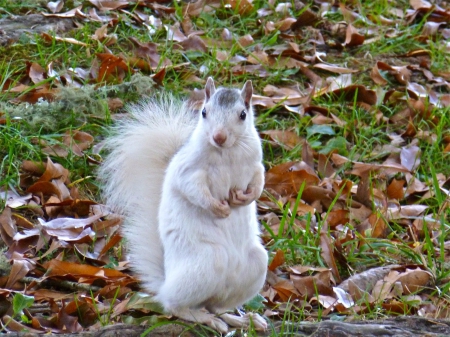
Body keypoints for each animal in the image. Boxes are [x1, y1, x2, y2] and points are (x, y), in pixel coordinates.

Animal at [99, 78, 268, 330]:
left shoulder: (256, 163)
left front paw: (247, 197)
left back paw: (241, 319)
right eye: (204, 112)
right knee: (176, 306)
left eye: (243, 114)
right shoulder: (188, 170)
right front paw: (217, 207)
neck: (226, 152)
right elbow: (193, 189)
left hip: (254, 266)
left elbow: (259, 180)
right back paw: (204, 318)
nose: (219, 136)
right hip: (205, 264)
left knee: (215, 305)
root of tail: (167, 282)